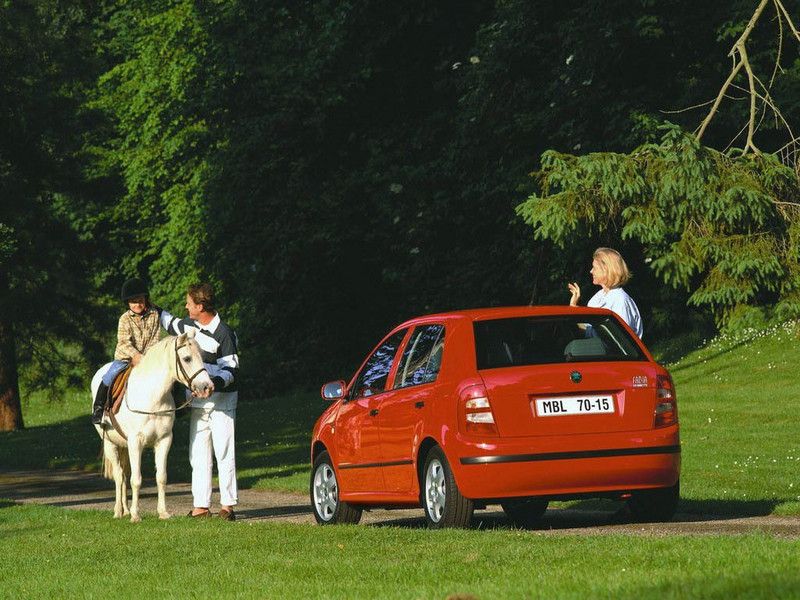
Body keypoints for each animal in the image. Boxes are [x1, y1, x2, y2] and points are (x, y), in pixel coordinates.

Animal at [90, 330, 212, 524]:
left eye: (202, 356)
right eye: (187, 358)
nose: (207, 387)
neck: (152, 396)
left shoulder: (164, 441)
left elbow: (161, 477)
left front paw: (163, 512)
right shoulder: (135, 442)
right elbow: (136, 480)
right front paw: (135, 515)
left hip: (124, 446)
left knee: (124, 475)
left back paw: (125, 510)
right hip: (110, 444)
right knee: (118, 475)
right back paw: (118, 511)